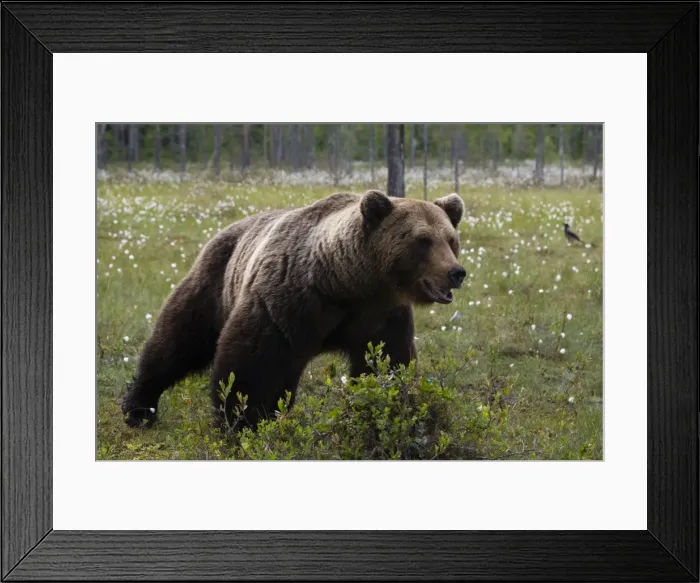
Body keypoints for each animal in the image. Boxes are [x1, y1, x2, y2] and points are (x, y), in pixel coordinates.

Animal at [121, 189, 467, 429]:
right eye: (423, 240)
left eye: (451, 239)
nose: (456, 272)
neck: (347, 283)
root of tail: (226, 229)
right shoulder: (290, 300)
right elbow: (251, 364)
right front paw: (243, 423)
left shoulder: (381, 315)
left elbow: (386, 364)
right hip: (214, 282)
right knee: (178, 339)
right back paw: (138, 408)